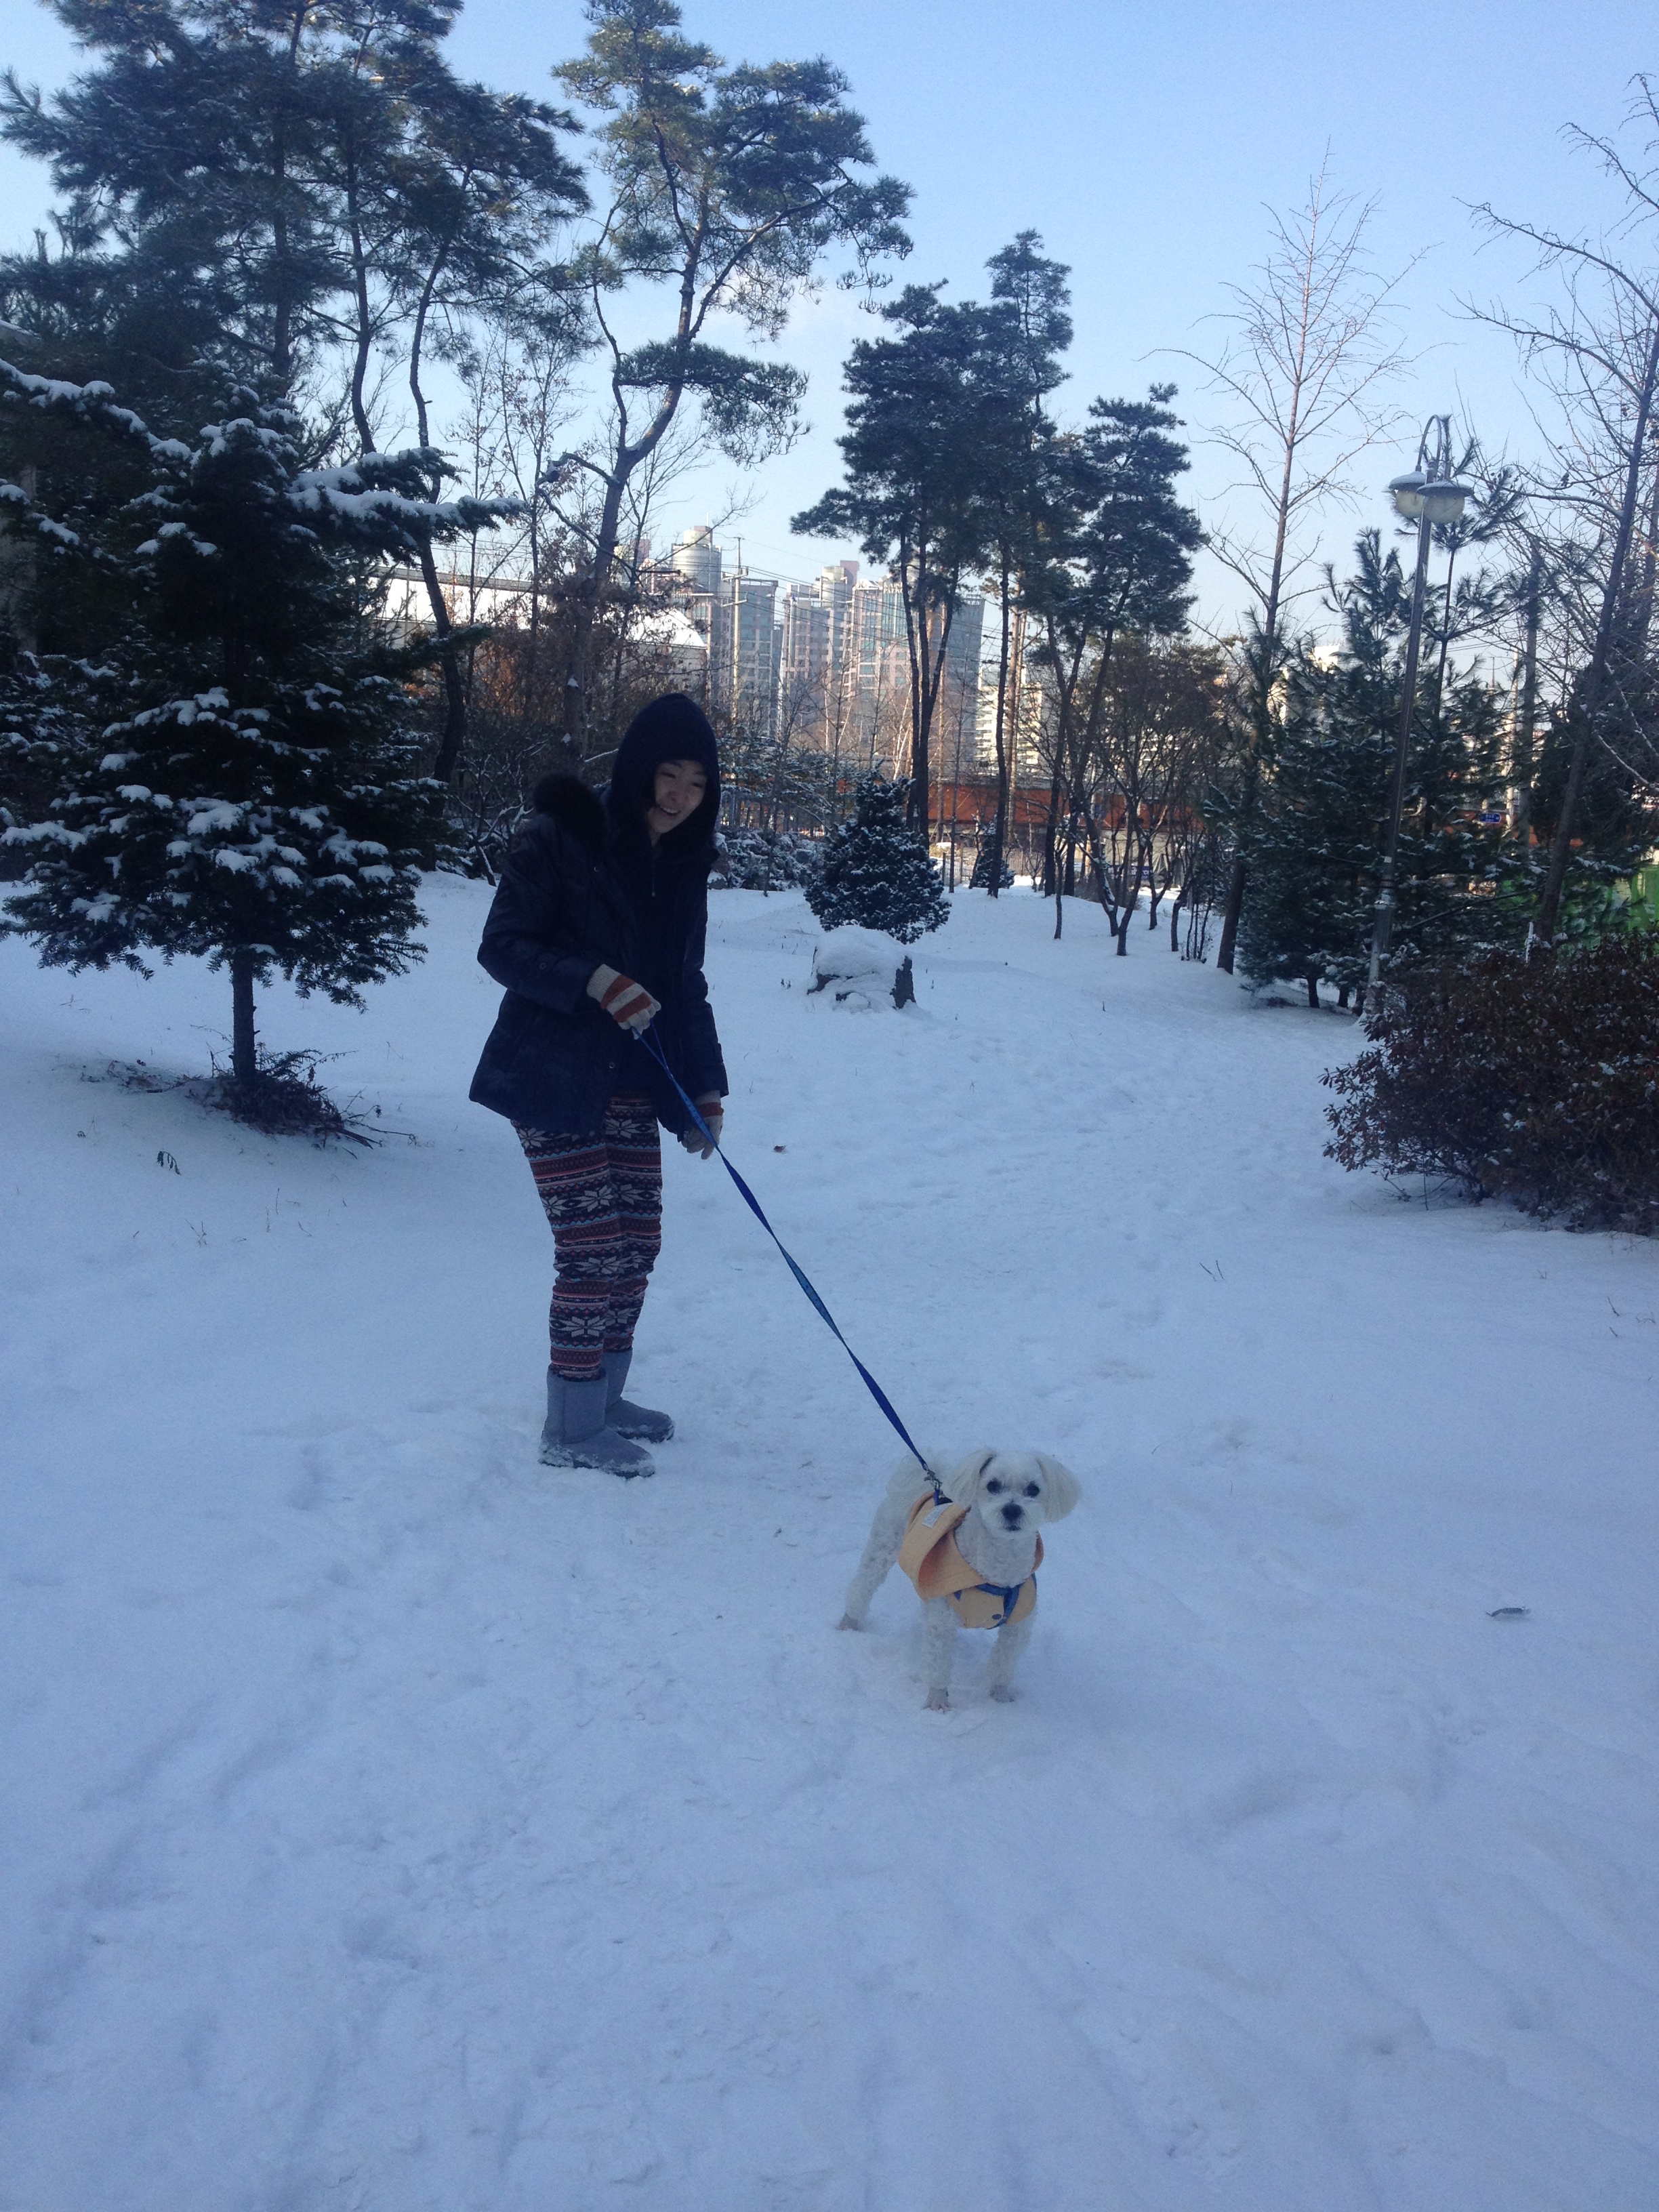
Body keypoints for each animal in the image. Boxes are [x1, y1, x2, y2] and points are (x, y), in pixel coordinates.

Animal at [838, 1449, 1082, 1710]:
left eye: (1033, 1489)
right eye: (992, 1485)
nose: (1012, 1510)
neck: (996, 1572)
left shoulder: (1017, 1626)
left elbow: (1003, 1663)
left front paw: (1000, 1696)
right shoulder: (942, 1623)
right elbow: (938, 1665)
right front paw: (937, 1702)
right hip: (882, 1547)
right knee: (862, 1586)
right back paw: (849, 1622)